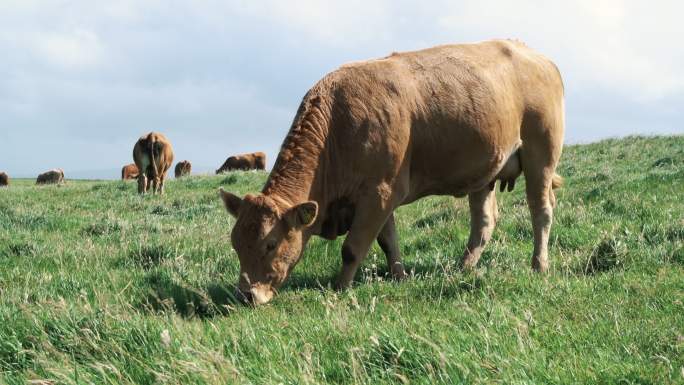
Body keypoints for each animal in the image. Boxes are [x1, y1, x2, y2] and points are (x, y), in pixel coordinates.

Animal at [219, 39, 568, 304]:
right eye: (236, 243)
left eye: (270, 244)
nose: (246, 295)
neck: (337, 128)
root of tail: (539, 56)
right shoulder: (378, 196)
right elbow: (388, 240)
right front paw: (399, 276)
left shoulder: (380, 192)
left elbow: (352, 248)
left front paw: (340, 288)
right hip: (484, 170)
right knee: (484, 221)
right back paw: (464, 267)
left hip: (541, 155)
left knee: (541, 210)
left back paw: (539, 265)